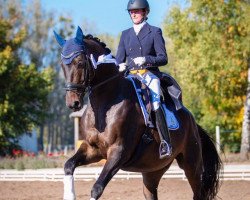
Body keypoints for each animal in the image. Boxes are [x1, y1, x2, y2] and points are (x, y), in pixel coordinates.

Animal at [54, 27, 221, 200]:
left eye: (80, 63)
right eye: (62, 65)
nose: (73, 103)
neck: (104, 105)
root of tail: (192, 121)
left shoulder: (119, 151)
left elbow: (97, 188)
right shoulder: (92, 149)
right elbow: (68, 165)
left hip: (191, 165)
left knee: (198, 192)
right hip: (152, 170)